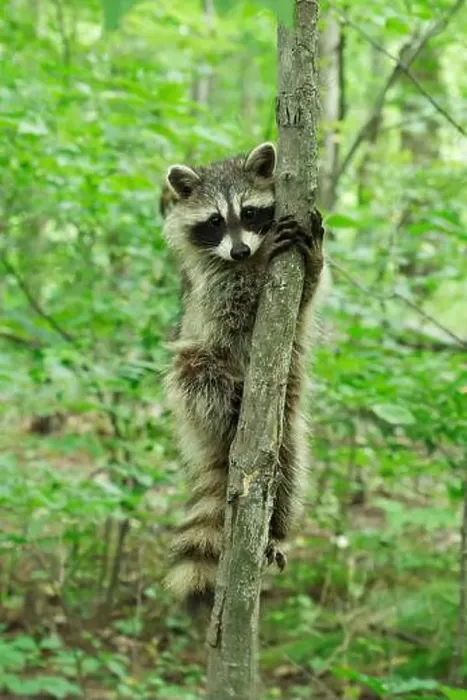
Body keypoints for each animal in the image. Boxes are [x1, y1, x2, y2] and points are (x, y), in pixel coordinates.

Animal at [162, 142, 326, 608]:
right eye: (215, 221)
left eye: (250, 213)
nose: (239, 253)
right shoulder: (210, 285)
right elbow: (231, 309)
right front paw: (264, 258)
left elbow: (305, 296)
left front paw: (312, 260)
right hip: (196, 374)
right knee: (193, 372)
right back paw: (227, 405)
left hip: (286, 420)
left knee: (290, 470)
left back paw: (277, 530)